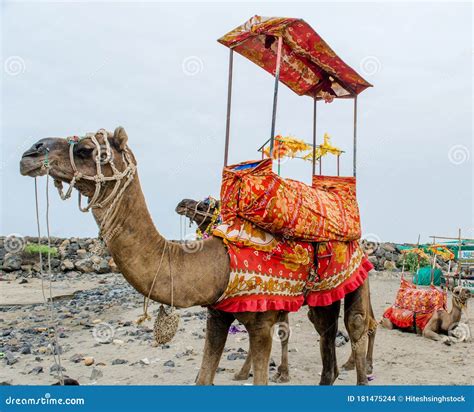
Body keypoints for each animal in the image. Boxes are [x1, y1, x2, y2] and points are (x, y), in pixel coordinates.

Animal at [174, 198, 378, 382]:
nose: (182, 204)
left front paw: (280, 373)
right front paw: (261, 372)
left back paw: (362, 367)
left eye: (204, 204)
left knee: (358, 322)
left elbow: (279, 334)